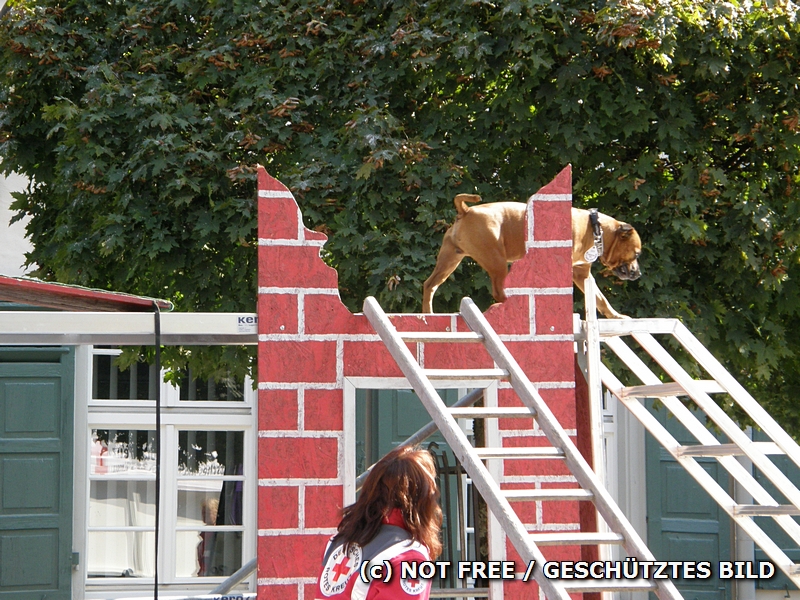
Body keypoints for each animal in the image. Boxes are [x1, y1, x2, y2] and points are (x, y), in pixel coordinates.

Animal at [422, 196, 640, 318]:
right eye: (637, 253)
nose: (638, 273)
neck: (596, 229)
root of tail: (466, 210)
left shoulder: (582, 274)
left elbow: (600, 299)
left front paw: (616, 316)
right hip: (497, 262)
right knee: (498, 291)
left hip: (449, 262)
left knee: (429, 285)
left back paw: (427, 313)